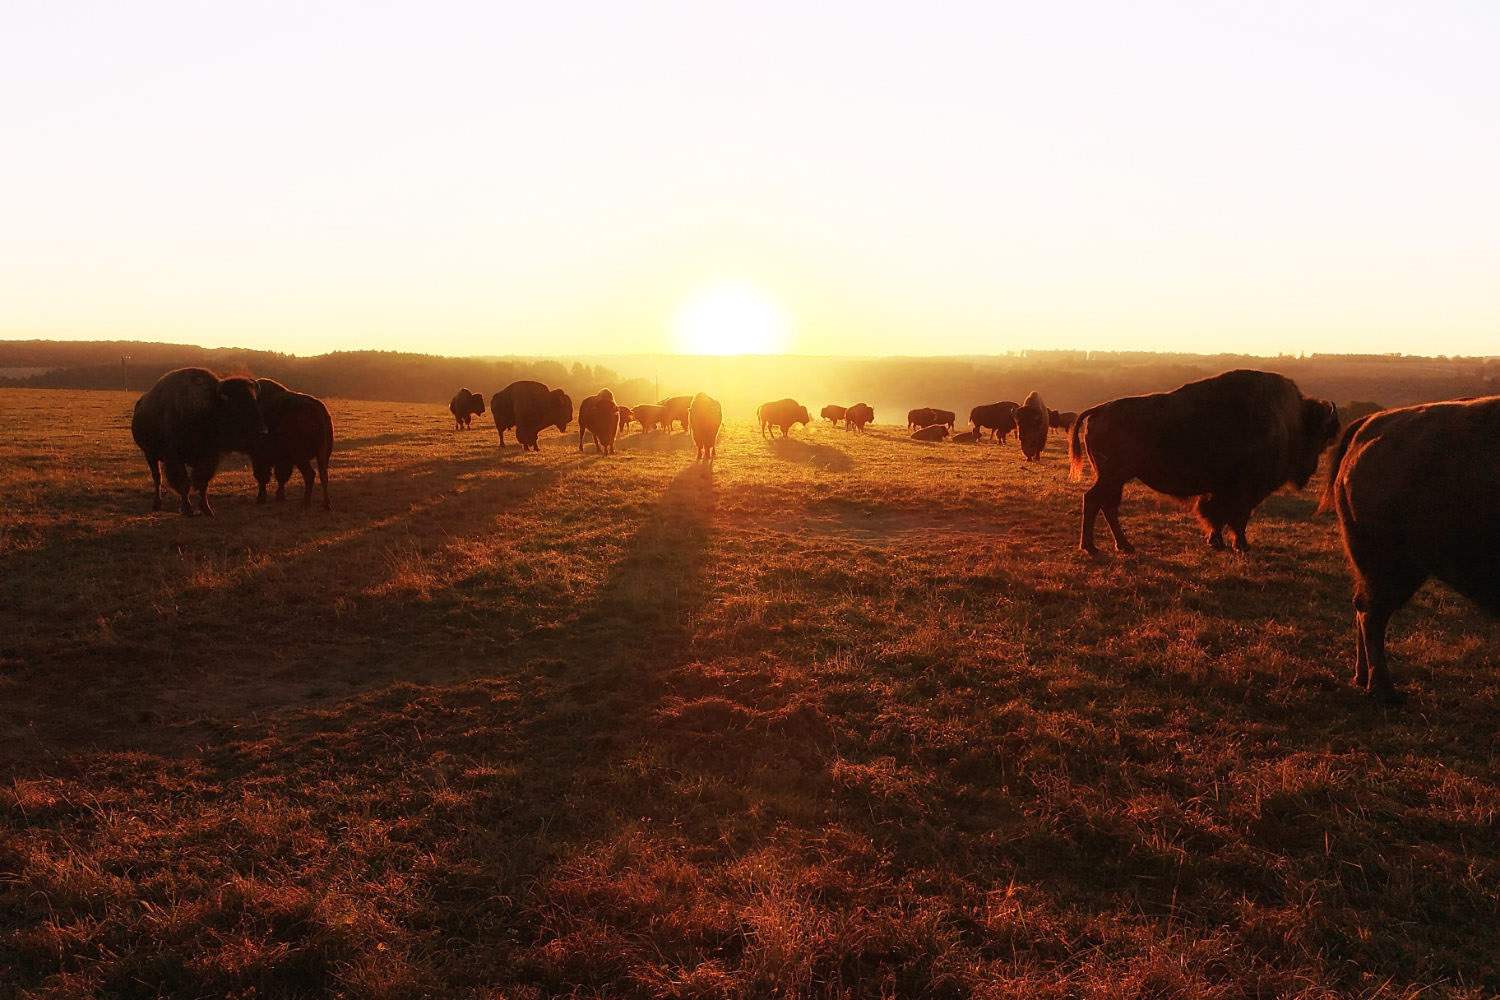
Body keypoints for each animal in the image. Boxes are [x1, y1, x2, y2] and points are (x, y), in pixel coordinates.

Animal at [132, 371, 267, 521]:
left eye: (255, 402)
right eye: (238, 407)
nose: (262, 432)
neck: (209, 407)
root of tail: (140, 404)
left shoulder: (208, 458)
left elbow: (202, 484)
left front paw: (207, 509)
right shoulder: (175, 458)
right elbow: (184, 484)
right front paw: (187, 509)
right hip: (150, 454)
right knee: (157, 478)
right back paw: (157, 504)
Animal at [249, 379, 334, 512]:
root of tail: (318, 412)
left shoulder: (260, 455)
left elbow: (263, 476)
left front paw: (261, 499)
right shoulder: (283, 458)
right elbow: (281, 476)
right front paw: (279, 496)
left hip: (300, 457)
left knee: (310, 475)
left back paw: (305, 503)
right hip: (323, 455)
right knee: (323, 475)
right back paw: (326, 504)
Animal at [1068, 367, 1338, 554]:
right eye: (1321, 437)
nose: (1311, 469)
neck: (1290, 419)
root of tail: (1099, 409)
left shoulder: (1222, 489)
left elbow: (1216, 514)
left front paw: (1216, 542)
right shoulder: (1244, 491)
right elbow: (1236, 517)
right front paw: (1241, 545)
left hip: (1115, 478)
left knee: (1106, 505)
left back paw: (1122, 546)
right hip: (1113, 476)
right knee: (1094, 500)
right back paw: (1093, 547)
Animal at [1320, 395, 1494, 704]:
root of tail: (1369, 425)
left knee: (1362, 607)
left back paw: (1363, 677)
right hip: (1392, 566)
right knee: (1371, 612)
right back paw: (1383, 689)